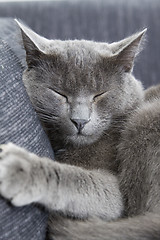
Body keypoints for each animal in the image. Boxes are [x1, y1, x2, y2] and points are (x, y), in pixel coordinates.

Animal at [0, 20, 159, 238]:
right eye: (59, 93)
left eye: (99, 95)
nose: (80, 120)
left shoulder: (115, 195)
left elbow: (81, 179)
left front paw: (21, 168)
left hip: (146, 118)